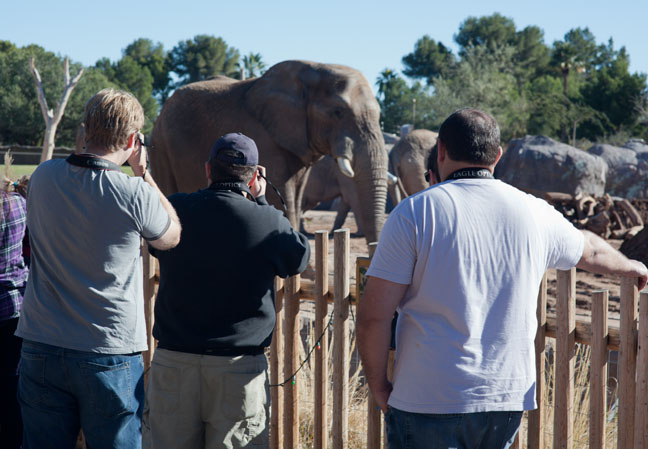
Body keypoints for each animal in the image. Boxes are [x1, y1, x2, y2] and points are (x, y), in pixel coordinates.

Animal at [150, 60, 388, 244]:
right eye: (337, 112)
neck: (314, 68)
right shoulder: (263, 138)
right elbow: (281, 201)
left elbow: (295, 200)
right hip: (161, 145)